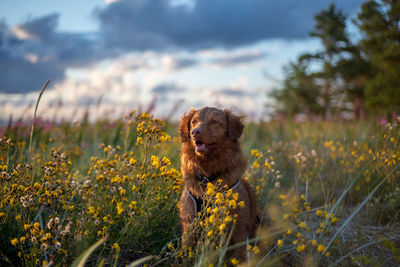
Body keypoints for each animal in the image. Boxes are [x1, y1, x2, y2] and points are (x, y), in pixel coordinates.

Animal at [177, 107, 260, 262]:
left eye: (214, 121)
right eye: (194, 121)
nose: (195, 132)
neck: (207, 177)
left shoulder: (238, 229)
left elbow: (240, 255)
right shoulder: (189, 224)